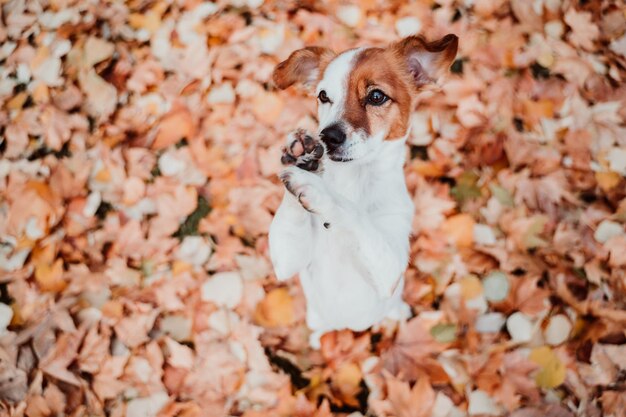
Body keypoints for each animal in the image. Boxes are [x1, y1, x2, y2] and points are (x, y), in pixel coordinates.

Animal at [266, 32, 456, 346]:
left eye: (376, 96)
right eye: (323, 96)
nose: (327, 136)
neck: (352, 181)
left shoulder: (390, 267)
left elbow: (355, 216)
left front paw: (319, 190)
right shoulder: (288, 261)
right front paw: (300, 158)